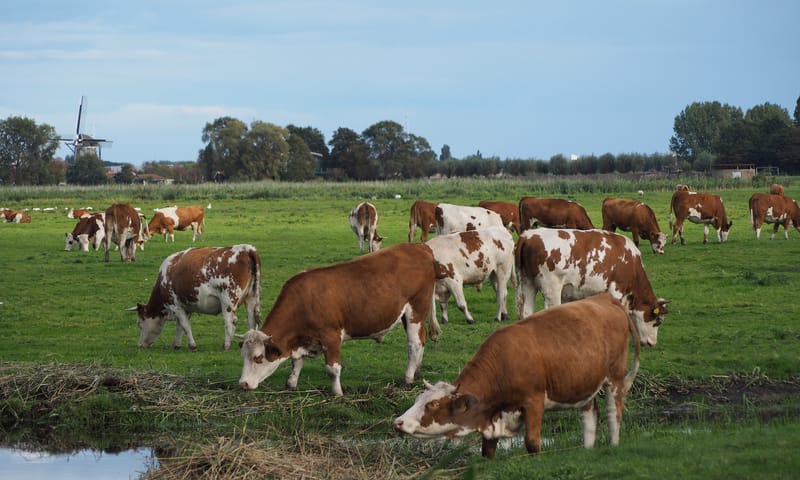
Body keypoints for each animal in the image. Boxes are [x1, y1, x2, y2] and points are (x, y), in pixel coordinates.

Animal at [132, 245, 262, 351]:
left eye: (139, 324)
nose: (140, 345)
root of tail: (246, 248)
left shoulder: (175, 305)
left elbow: (185, 326)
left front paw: (192, 346)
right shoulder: (185, 307)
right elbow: (180, 326)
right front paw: (177, 345)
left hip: (227, 299)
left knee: (231, 321)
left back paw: (226, 346)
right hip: (251, 297)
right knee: (252, 320)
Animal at [238, 243, 441, 396]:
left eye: (258, 358)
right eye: (243, 355)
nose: (243, 384)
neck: (304, 300)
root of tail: (419, 247)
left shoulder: (331, 336)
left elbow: (332, 369)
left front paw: (337, 393)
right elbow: (297, 362)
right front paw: (291, 384)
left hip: (417, 309)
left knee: (414, 344)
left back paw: (408, 378)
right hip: (409, 315)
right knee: (421, 340)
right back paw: (417, 371)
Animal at [394, 293, 640, 458]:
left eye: (433, 405)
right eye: (418, 400)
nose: (398, 422)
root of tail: (606, 297)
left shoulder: (534, 401)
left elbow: (532, 443)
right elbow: (487, 450)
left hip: (615, 378)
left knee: (614, 413)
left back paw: (614, 444)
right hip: (584, 383)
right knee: (590, 415)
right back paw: (587, 449)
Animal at [515, 228, 668, 346]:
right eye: (658, 321)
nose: (652, 343)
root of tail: (528, 235)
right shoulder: (617, 290)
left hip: (527, 284)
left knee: (526, 313)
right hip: (551, 289)